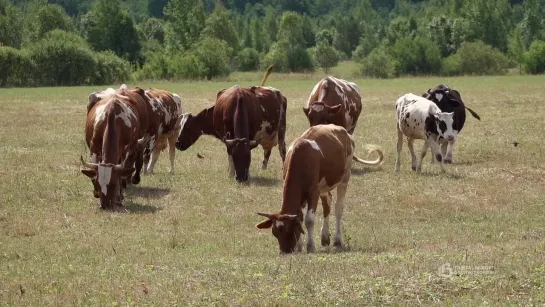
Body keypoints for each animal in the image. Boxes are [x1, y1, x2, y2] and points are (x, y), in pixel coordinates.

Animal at [255, 124, 382, 254]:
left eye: (289, 231)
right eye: (275, 233)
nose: (285, 252)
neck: (300, 159)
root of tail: (344, 132)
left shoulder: (313, 192)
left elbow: (309, 219)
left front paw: (310, 246)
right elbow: (299, 217)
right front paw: (299, 247)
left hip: (345, 177)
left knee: (338, 208)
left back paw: (337, 240)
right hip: (324, 188)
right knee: (327, 204)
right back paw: (325, 237)